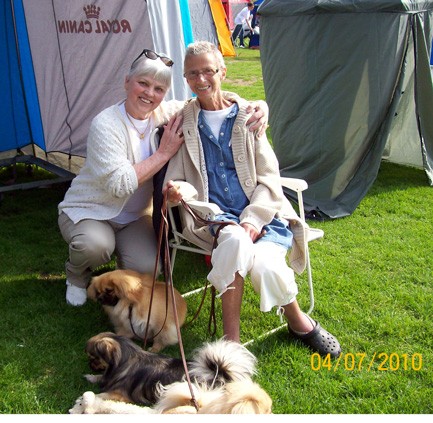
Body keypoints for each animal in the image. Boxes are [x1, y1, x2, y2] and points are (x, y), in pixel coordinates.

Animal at [77, 332, 258, 407]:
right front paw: (91, 376)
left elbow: (102, 395)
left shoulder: (120, 395)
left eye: (93, 357)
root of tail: (219, 375)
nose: (88, 364)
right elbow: (101, 378)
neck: (124, 362)